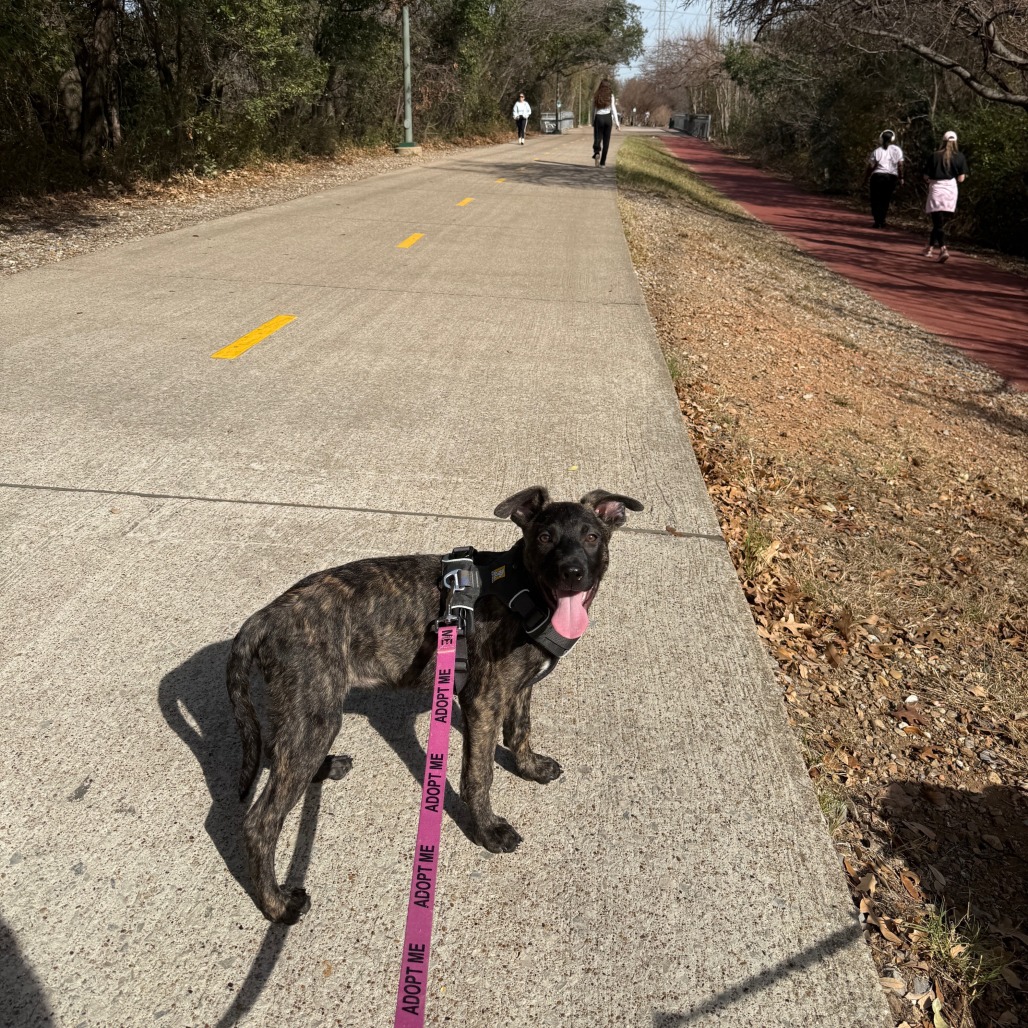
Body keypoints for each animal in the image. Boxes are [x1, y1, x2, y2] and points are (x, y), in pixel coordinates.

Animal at [226, 485, 643, 923]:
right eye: (545, 538)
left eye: (592, 537)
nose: (572, 573)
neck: (524, 589)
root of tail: (264, 617)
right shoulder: (483, 700)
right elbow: (479, 775)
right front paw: (488, 830)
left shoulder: (518, 690)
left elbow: (520, 730)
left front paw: (530, 768)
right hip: (316, 714)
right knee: (260, 822)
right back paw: (277, 905)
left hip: (303, 712)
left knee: (278, 752)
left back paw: (322, 769)